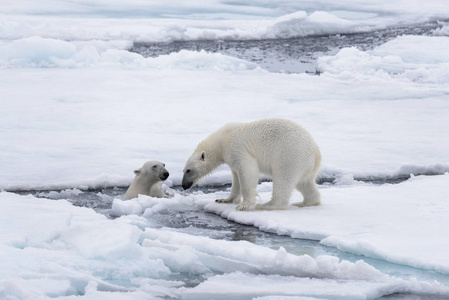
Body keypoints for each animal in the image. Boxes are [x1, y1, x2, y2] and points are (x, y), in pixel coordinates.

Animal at [180, 118, 320, 210]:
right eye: (184, 170)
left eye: (188, 170)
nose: (184, 185)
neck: (222, 139)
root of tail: (316, 152)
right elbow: (235, 177)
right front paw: (224, 200)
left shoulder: (236, 148)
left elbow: (247, 170)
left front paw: (244, 205)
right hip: (303, 163)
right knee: (304, 183)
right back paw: (306, 202)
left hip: (290, 155)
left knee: (283, 179)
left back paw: (266, 205)